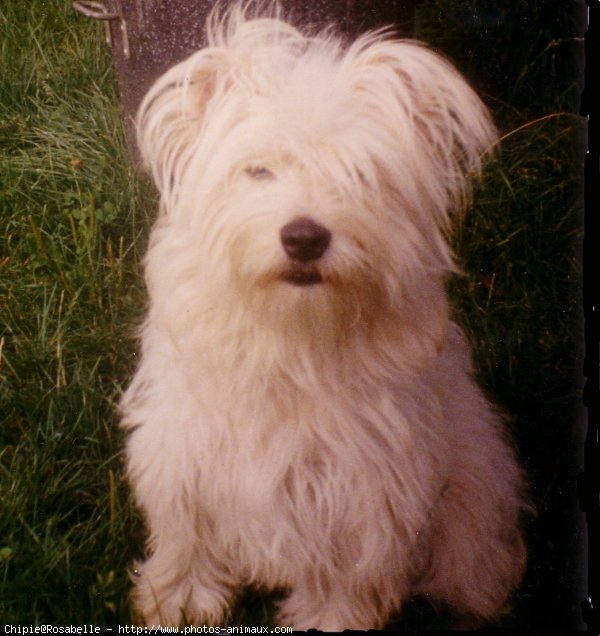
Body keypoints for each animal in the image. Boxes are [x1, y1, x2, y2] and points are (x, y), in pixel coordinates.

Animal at [119, 3, 528, 632]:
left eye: (361, 174)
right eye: (258, 170)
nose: (305, 237)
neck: (291, 341)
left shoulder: (364, 495)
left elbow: (344, 579)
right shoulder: (181, 455)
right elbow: (187, 537)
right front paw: (179, 599)